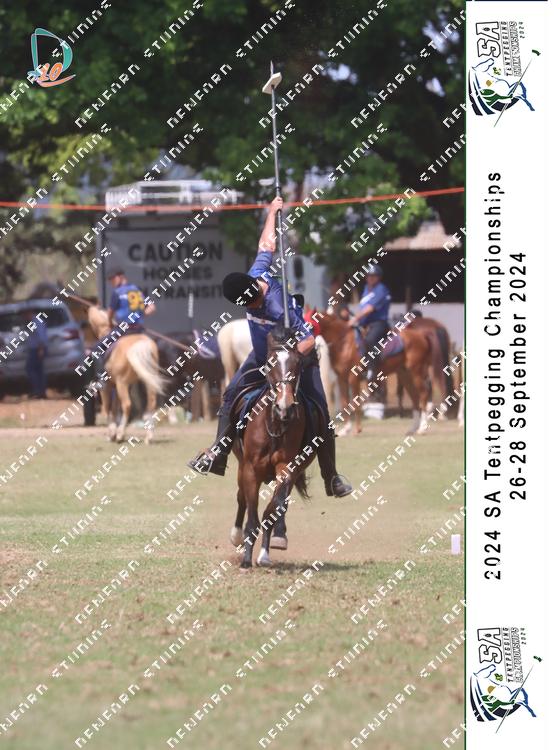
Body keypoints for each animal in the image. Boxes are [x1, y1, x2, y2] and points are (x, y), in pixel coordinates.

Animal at [87, 306, 165, 443]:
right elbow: (114, 408)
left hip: (121, 384)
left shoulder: (107, 388)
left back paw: (120, 435)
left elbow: (107, 408)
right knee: (151, 404)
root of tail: (140, 344)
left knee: (127, 405)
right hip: (146, 381)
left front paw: (112, 434)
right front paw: (114, 431)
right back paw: (148, 437)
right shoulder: (117, 387)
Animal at [229, 326, 319, 569]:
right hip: (241, 465)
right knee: (241, 497)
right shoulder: (251, 470)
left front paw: (269, 548)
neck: (276, 423)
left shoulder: (287, 467)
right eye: (270, 363)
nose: (284, 406)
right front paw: (246, 561)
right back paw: (236, 536)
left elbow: (275, 507)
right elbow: (251, 514)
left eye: (298, 363)